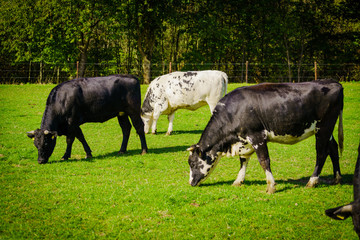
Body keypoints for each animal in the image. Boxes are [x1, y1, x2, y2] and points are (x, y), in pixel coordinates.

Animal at [188, 79, 344, 194]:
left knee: (321, 153)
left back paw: (312, 181)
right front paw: (238, 181)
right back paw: (337, 178)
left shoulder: (257, 136)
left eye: (193, 163)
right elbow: (243, 161)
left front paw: (271, 186)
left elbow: (264, 161)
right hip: (326, 130)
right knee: (333, 148)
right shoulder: (244, 141)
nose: (191, 183)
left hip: (324, 127)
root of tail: (334, 82)